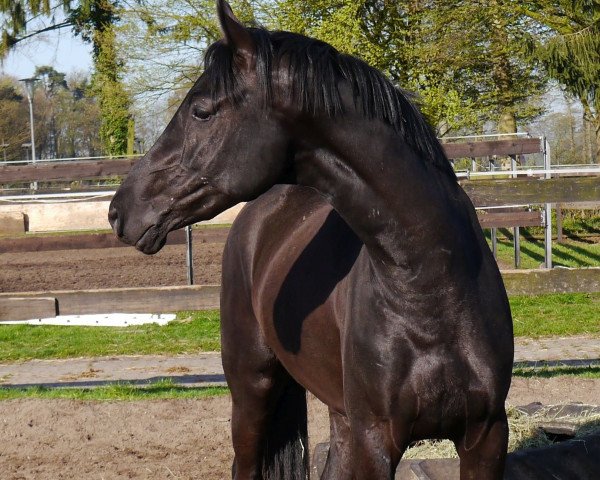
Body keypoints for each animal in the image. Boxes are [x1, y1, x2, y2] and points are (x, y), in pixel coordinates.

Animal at [110, 1, 512, 478]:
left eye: (202, 111)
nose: (120, 209)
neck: (431, 281)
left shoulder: (486, 436)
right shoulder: (376, 439)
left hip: (339, 418)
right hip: (252, 391)